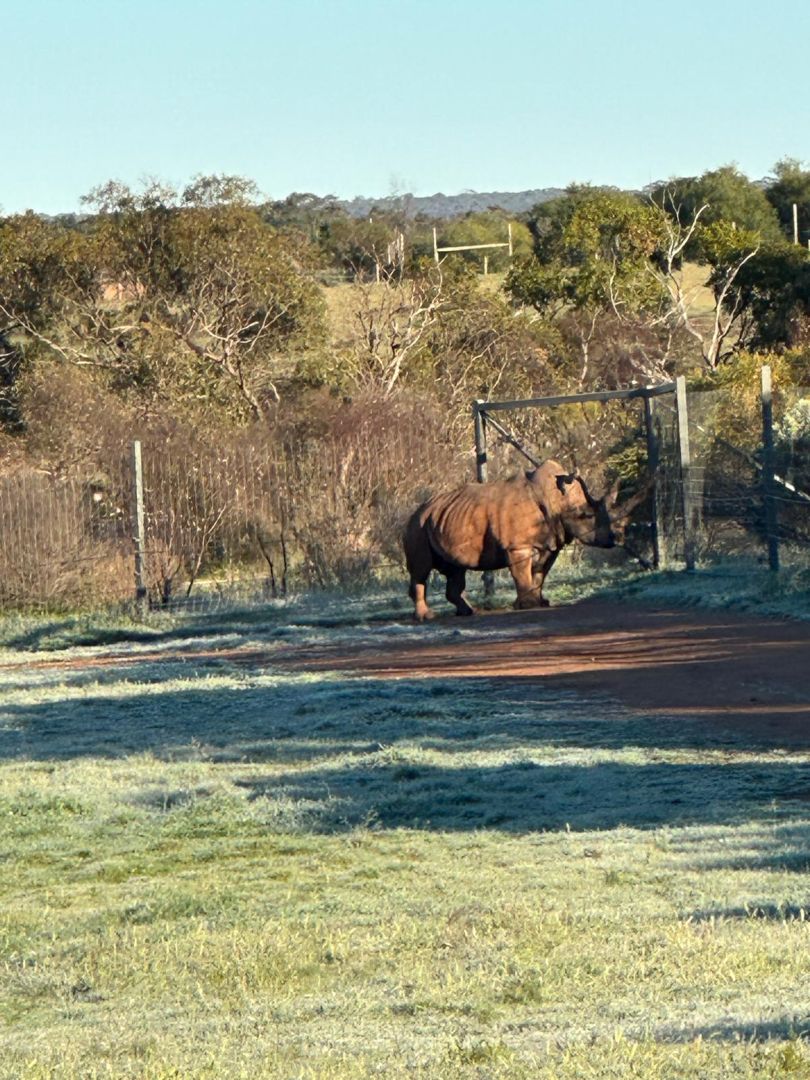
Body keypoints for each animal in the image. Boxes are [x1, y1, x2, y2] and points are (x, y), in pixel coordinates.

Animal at [404, 459, 641, 621]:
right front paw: (527, 605)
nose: (616, 537)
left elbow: (539, 574)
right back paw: (427, 617)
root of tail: (418, 510)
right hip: (417, 526)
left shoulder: (550, 543)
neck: (557, 499)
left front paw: (540, 602)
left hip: (443, 521)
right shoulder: (518, 546)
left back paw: (469, 611)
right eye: (586, 516)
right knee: (421, 569)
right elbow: (523, 574)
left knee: (456, 569)